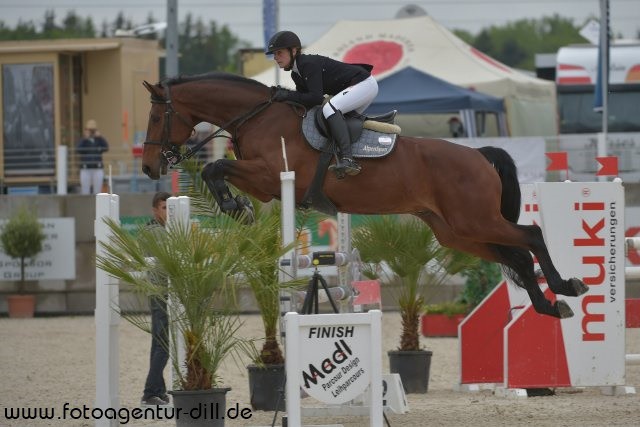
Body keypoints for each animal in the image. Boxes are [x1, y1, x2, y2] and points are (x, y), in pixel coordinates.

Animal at [142, 72, 588, 320]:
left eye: (155, 115)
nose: (148, 168)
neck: (258, 116)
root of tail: (479, 155)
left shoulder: (272, 175)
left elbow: (215, 168)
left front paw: (236, 208)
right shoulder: (265, 182)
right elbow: (218, 171)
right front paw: (238, 207)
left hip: (475, 220)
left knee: (530, 236)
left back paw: (565, 286)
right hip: (457, 232)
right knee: (516, 257)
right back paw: (551, 306)